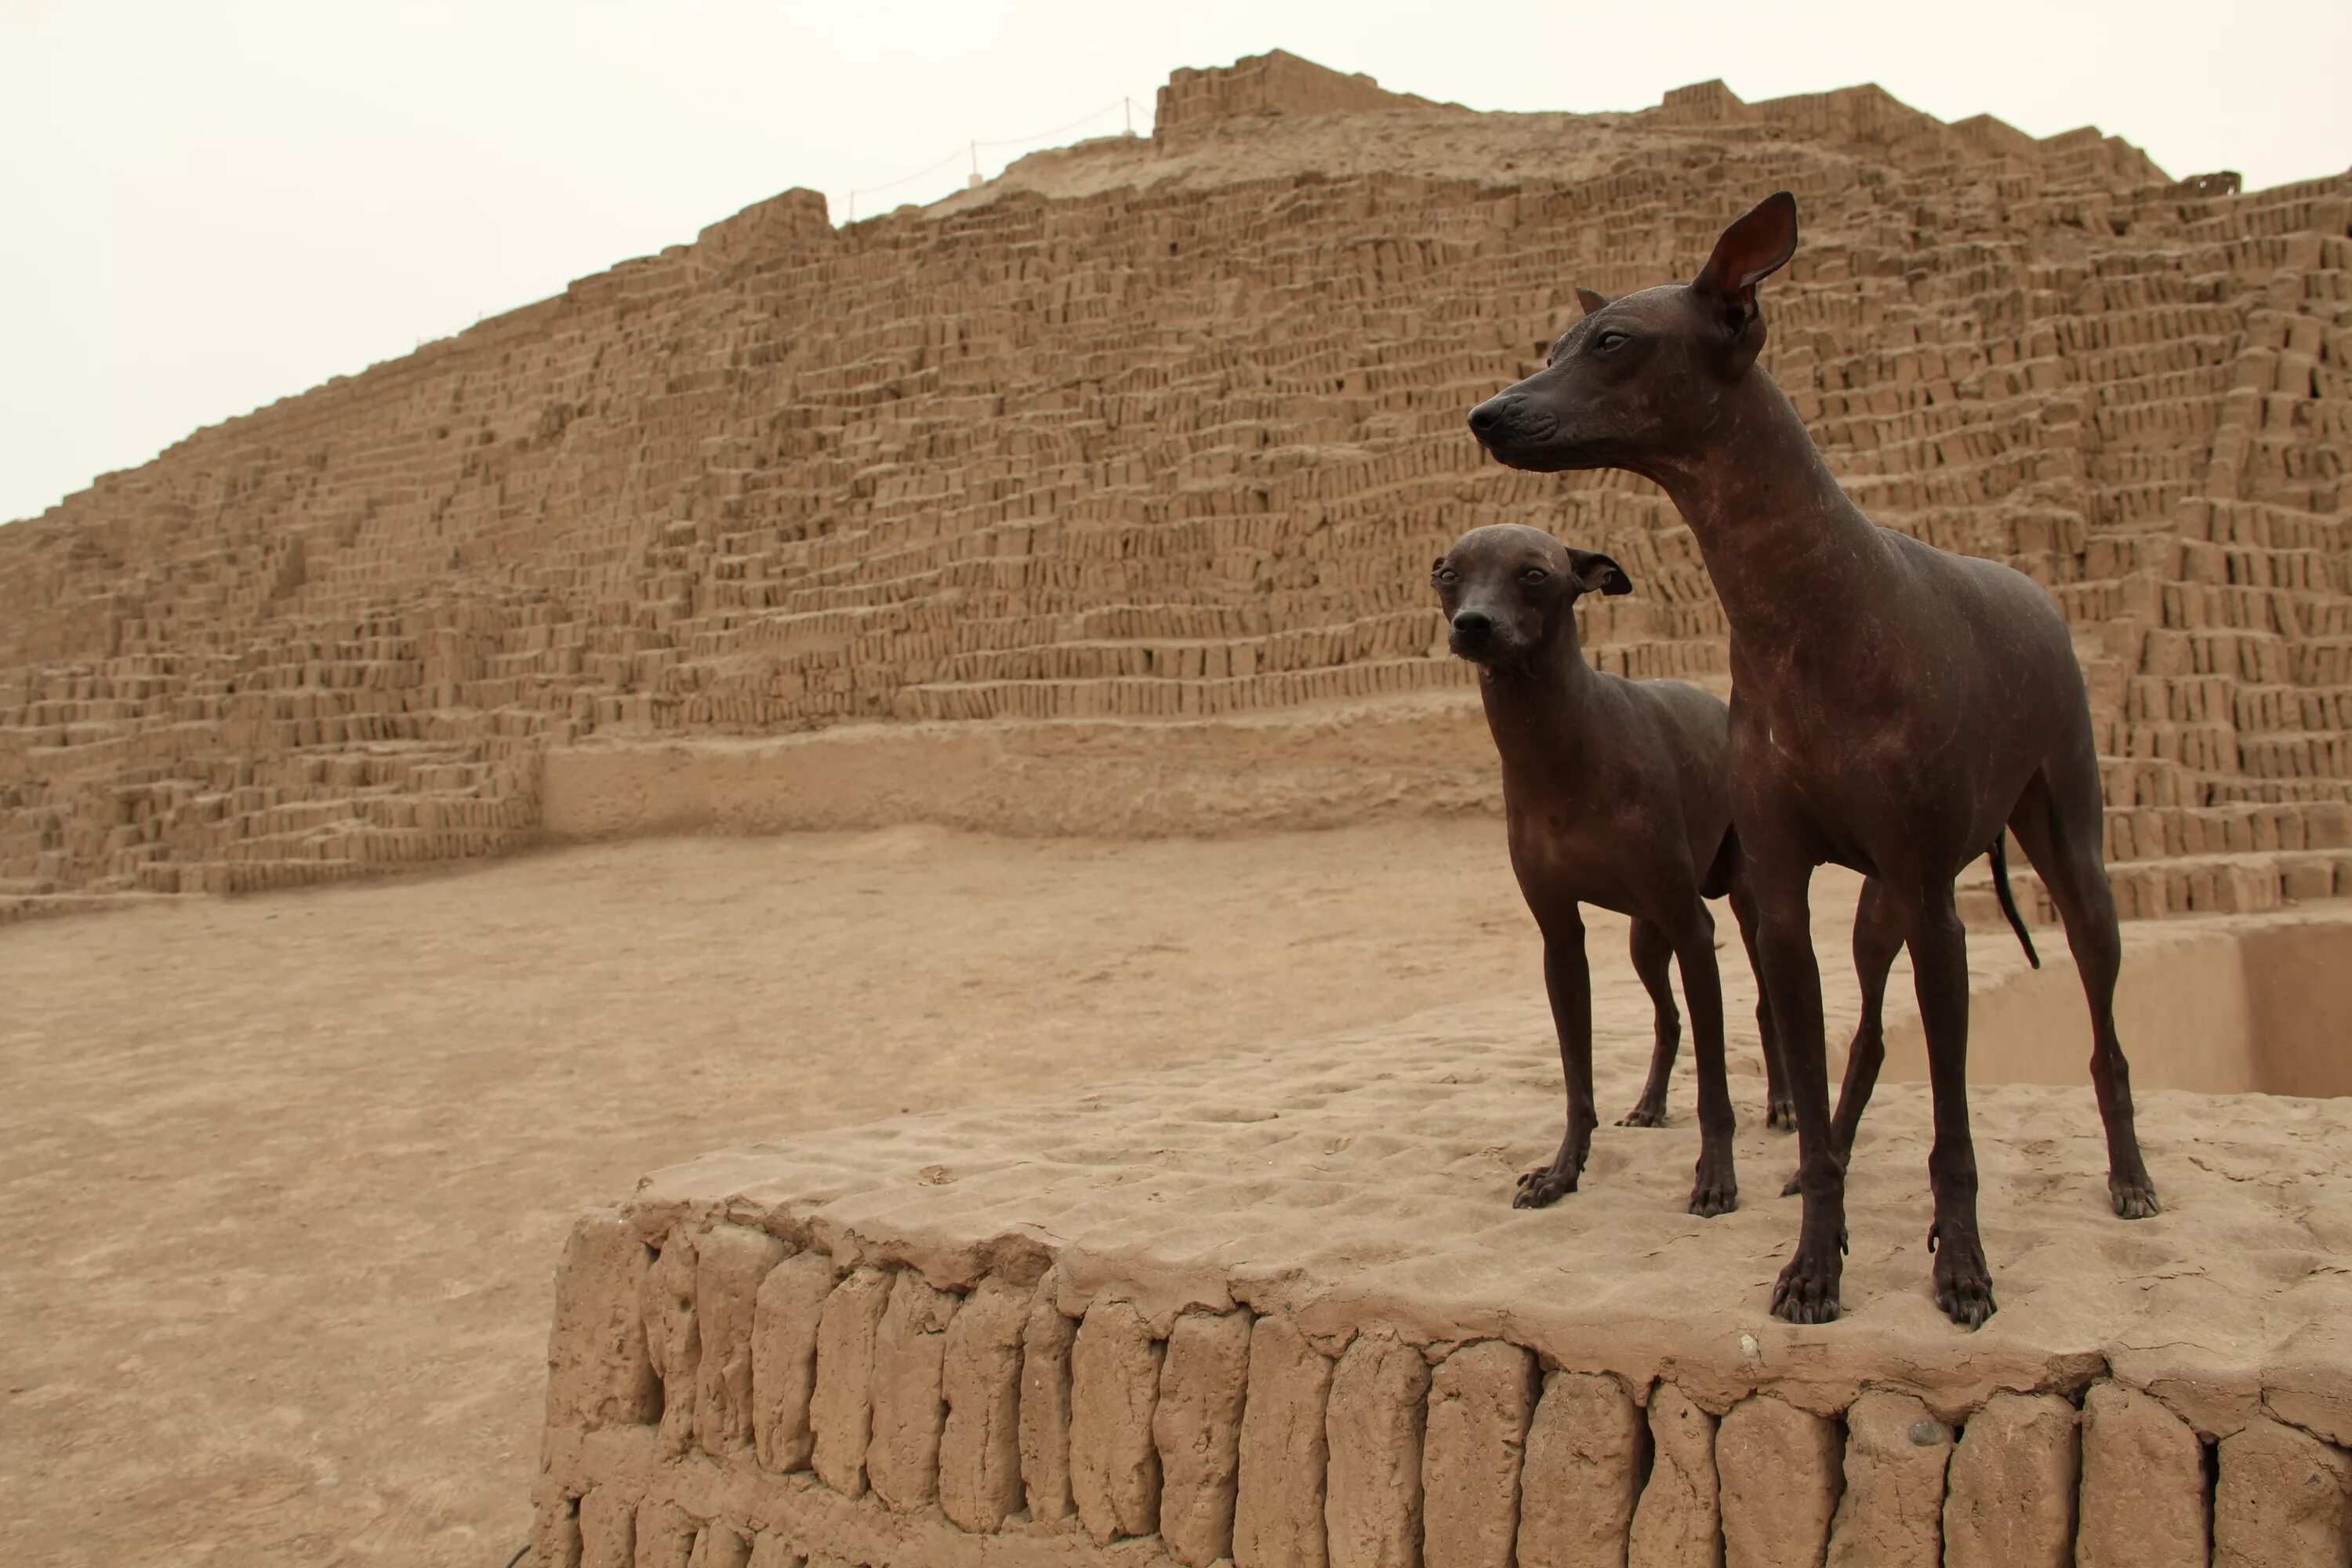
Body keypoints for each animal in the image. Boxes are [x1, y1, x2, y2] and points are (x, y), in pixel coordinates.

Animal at [1430, 521, 1778, 1222]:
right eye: (1449, 574)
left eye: (1534, 573)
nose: (1472, 625)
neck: (1564, 749)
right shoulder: (1561, 939)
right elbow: (1577, 1079)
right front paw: (1562, 1173)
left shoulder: (1694, 931)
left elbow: (1717, 1086)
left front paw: (1716, 1179)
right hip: (1647, 938)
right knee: (1667, 1020)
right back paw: (1649, 1104)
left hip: (1741, 909)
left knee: (1764, 1005)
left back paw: (1785, 1106)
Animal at [1468, 192, 2164, 1326]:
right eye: (1557, 343)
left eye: (1612, 342)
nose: (1489, 413)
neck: (1814, 614)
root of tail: (2039, 593)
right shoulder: (1787, 895)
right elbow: (1809, 1040)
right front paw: (1812, 1260)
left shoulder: (1934, 903)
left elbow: (1956, 1129)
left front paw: (1962, 1267)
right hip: (1874, 908)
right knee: (1870, 1033)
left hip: (2066, 857)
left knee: (2103, 1028)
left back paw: (2131, 1176)